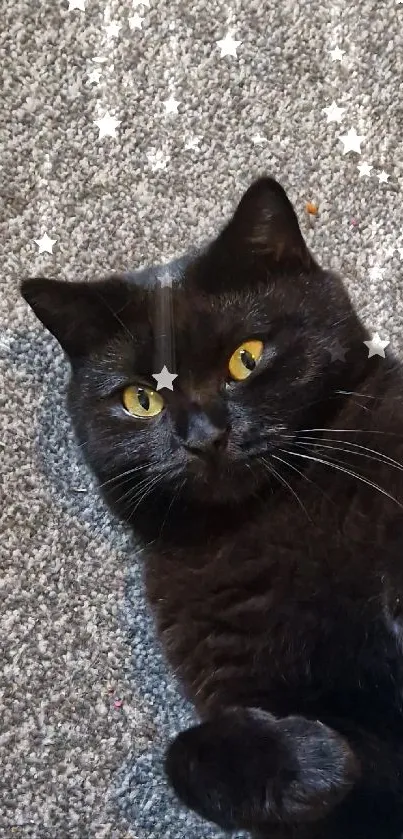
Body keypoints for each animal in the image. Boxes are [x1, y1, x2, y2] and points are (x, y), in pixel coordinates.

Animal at [21, 179, 403, 839]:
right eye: (141, 400)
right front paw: (313, 764)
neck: (268, 517)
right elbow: (181, 757)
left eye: (245, 359)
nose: (203, 436)